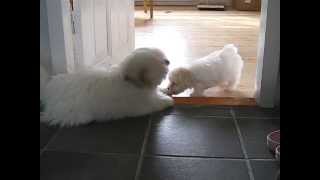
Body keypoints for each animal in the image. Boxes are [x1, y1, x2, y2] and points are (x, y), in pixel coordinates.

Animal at [41, 47, 175, 126]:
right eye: (162, 62)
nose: (168, 61)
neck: (129, 80)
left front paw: (164, 90)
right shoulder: (142, 104)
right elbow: (155, 103)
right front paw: (168, 100)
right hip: (77, 114)